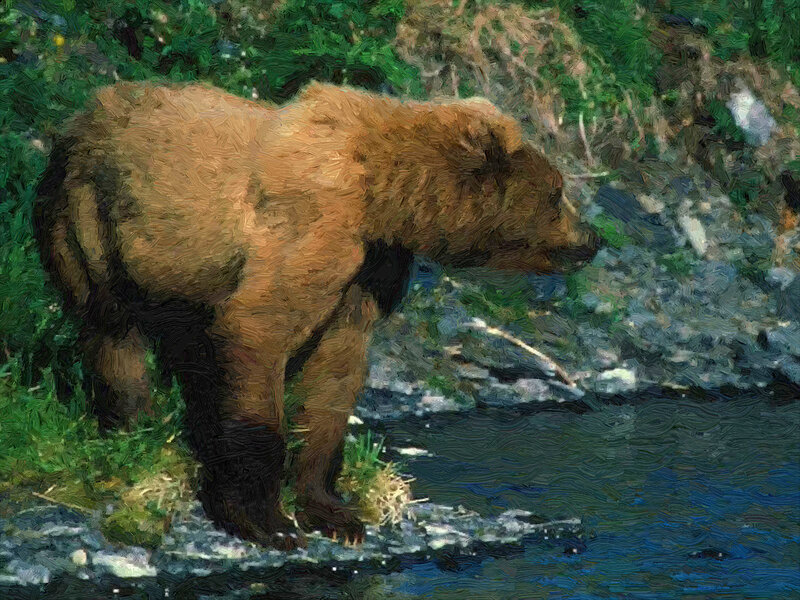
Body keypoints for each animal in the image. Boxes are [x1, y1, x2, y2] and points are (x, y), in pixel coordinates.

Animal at [34, 80, 599, 549]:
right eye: (557, 192)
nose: (592, 238)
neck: (387, 197)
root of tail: (76, 116)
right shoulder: (314, 230)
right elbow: (259, 330)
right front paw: (266, 520)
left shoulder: (369, 269)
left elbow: (334, 375)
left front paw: (333, 512)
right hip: (89, 217)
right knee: (112, 330)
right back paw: (132, 426)